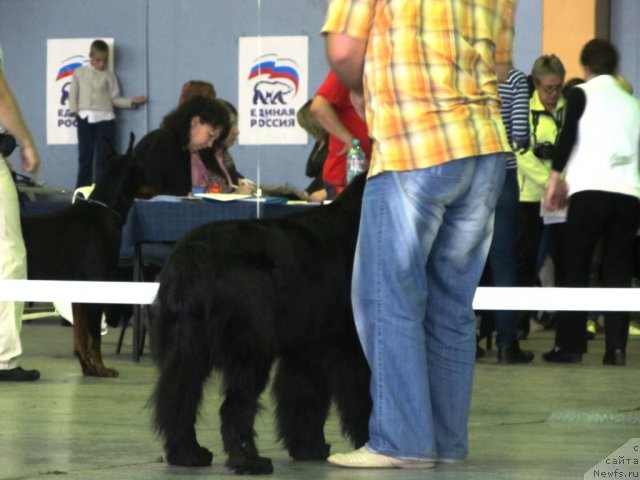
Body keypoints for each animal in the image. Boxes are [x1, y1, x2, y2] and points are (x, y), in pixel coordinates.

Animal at [149, 172, 370, 472]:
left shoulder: (307, 349)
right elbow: (360, 398)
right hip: (250, 346)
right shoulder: (352, 345)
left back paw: (188, 454)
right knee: (235, 405)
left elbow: (303, 398)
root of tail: (196, 255)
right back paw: (249, 460)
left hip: (185, 344)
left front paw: (308, 447)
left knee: (180, 396)